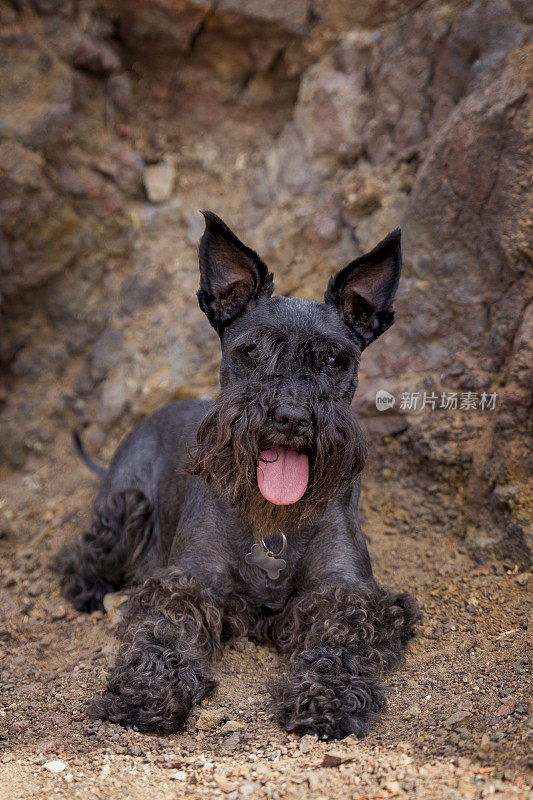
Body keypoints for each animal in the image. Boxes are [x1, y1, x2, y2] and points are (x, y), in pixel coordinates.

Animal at [56, 211, 418, 736]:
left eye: (334, 359)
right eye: (252, 351)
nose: (291, 417)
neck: (271, 518)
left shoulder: (347, 590)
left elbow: (341, 640)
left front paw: (326, 699)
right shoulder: (188, 580)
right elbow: (165, 630)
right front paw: (146, 691)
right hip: (125, 507)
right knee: (85, 552)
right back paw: (88, 587)